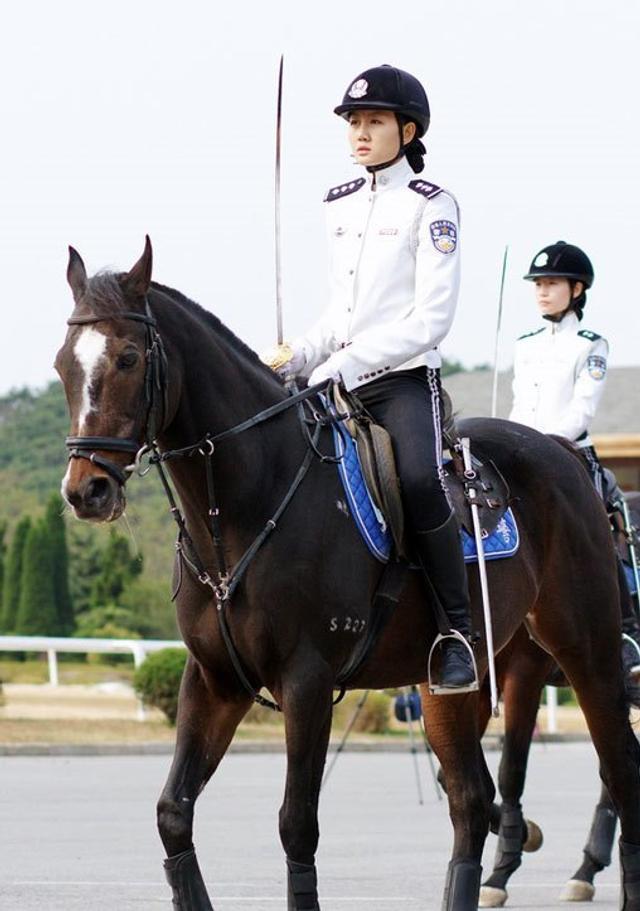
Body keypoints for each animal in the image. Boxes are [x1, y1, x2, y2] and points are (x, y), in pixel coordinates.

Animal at [53, 240, 640, 911]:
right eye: (61, 365)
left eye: (127, 357)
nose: (86, 491)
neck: (247, 505)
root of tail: (559, 451)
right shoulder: (213, 680)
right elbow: (173, 812)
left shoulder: (307, 681)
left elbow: (296, 823)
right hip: (450, 684)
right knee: (470, 798)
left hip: (587, 651)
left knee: (618, 768)